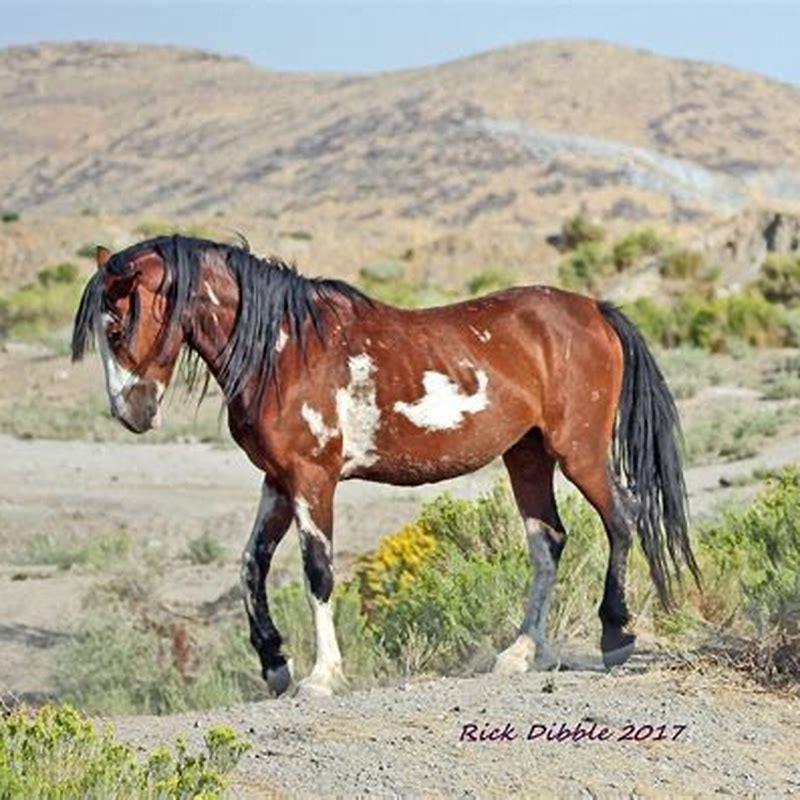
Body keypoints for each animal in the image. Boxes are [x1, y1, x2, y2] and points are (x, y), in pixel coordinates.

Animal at [72, 234, 698, 697]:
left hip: (579, 451)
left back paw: (614, 636)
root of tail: (594, 309)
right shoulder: (278, 480)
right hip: (527, 455)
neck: (284, 349)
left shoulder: (313, 479)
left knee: (621, 519)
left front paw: (321, 676)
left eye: (116, 327)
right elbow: (251, 565)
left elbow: (317, 571)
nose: (131, 412)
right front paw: (275, 663)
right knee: (548, 542)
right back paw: (523, 652)